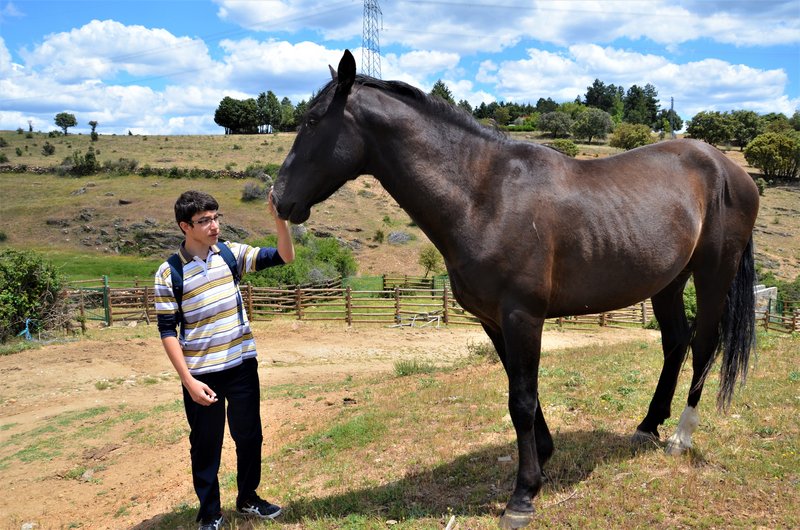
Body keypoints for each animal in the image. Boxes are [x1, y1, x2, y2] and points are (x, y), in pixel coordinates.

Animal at [272, 48, 760, 524]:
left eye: (312, 121)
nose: (279, 198)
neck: (483, 197)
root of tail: (731, 170)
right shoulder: (494, 321)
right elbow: (520, 391)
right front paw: (542, 456)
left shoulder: (522, 315)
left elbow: (522, 399)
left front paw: (523, 495)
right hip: (669, 282)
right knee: (675, 342)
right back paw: (647, 426)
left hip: (714, 274)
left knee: (704, 345)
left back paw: (680, 436)